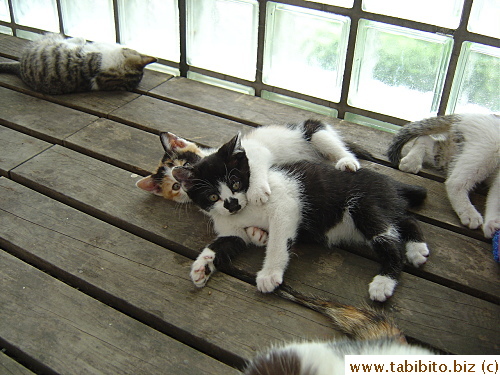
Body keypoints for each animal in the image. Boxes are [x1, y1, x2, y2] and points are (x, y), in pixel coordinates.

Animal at [135, 119, 370, 204]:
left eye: (184, 165)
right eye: (175, 187)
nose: (181, 183)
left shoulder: (255, 150)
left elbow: (255, 165)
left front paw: (256, 192)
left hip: (315, 132)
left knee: (335, 147)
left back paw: (347, 162)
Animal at [173, 134, 430, 302]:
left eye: (236, 182)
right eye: (212, 196)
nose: (232, 203)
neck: (243, 213)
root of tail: (388, 181)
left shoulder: (286, 205)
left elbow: (278, 243)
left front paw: (269, 274)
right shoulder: (232, 231)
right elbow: (220, 245)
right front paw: (202, 267)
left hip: (364, 204)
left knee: (390, 239)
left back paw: (384, 281)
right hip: (383, 206)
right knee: (406, 220)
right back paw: (417, 249)